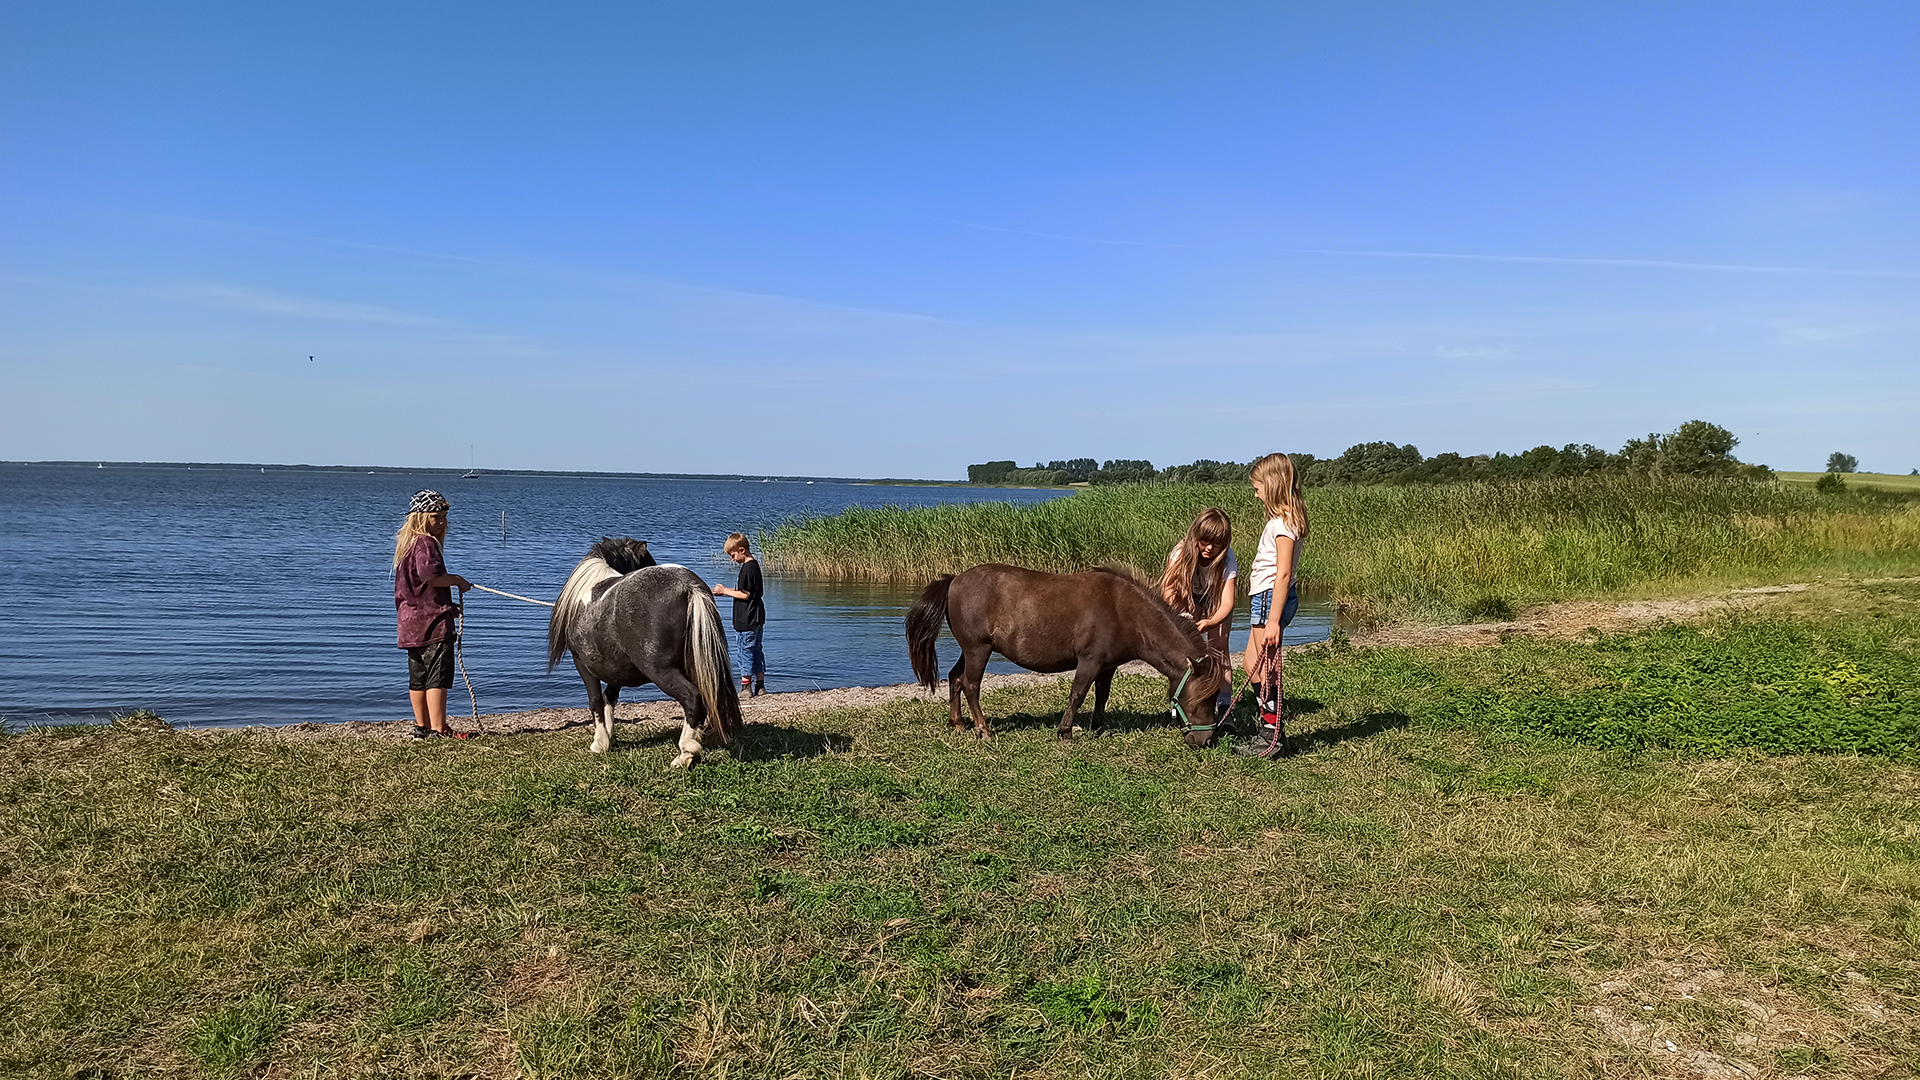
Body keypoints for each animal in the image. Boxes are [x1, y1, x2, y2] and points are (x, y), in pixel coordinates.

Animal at [546, 537, 743, 767]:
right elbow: (609, 698)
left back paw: (685, 754)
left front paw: (600, 743)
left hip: (661, 671)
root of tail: (687, 586)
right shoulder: (616, 669)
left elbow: (596, 701)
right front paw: (610, 737)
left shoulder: (584, 666)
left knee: (693, 698)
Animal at [905, 564, 1226, 748]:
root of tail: (954, 580)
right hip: (978, 649)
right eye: (1202, 700)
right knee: (971, 685)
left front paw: (1099, 728)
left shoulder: (1107, 666)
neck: (1126, 612)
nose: (1205, 739)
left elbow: (1101, 696)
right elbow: (1078, 694)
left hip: (970, 650)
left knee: (955, 678)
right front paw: (1066, 732)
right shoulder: (1090, 661)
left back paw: (958, 723)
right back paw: (983, 730)